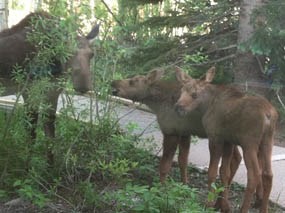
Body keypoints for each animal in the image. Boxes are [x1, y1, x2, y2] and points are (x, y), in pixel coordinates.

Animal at [0, 11, 99, 165]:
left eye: (92, 54)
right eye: (67, 51)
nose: (83, 85)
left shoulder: (52, 93)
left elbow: (50, 137)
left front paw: (50, 167)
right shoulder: (31, 91)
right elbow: (32, 135)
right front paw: (27, 167)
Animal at [110, 67, 241, 187]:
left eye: (132, 81)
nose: (113, 82)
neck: (157, 104)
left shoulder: (171, 131)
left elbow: (165, 165)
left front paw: (161, 187)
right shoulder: (184, 132)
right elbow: (182, 161)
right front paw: (184, 184)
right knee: (237, 158)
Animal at [174, 67, 276, 213]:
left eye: (194, 94)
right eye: (181, 91)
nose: (178, 107)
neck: (207, 105)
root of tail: (268, 115)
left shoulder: (215, 137)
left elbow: (212, 171)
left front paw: (209, 203)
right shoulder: (228, 141)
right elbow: (225, 172)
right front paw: (223, 206)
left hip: (249, 144)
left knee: (254, 175)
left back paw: (243, 209)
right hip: (268, 142)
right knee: (268, 175)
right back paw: (263, 209)